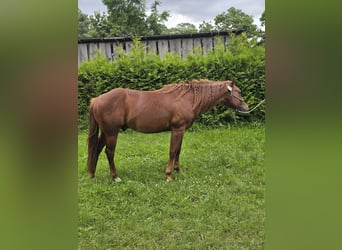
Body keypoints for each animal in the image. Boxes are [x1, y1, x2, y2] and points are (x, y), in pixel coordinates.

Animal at [88, 79, 248, 181]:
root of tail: (96, 100)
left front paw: (178, 171)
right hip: (112, 132)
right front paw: (169, 175)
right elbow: (172, 151)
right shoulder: (177, 129)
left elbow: (178, 151)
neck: (188, 98)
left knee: (97, 149)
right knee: (109, 152)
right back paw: (115, 177)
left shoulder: (182, 130)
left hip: (105, 132)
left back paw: (92, 174)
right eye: (239, 92)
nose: (246, 108)